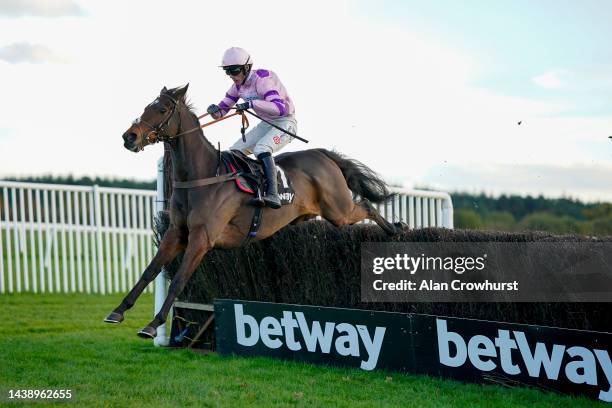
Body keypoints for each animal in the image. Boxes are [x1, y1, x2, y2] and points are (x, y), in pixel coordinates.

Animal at [104, 83, 402, 338]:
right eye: (147, 106)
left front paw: (153, 325)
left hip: (338, 210)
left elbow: (178, 279)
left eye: (163, 109)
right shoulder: (176, 233)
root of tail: (322, 154)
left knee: (365, 206)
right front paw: (117, 312)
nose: (129, 137)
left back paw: (397, 229)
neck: (201, 176)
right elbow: (149, 271)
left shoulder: (202, 238)